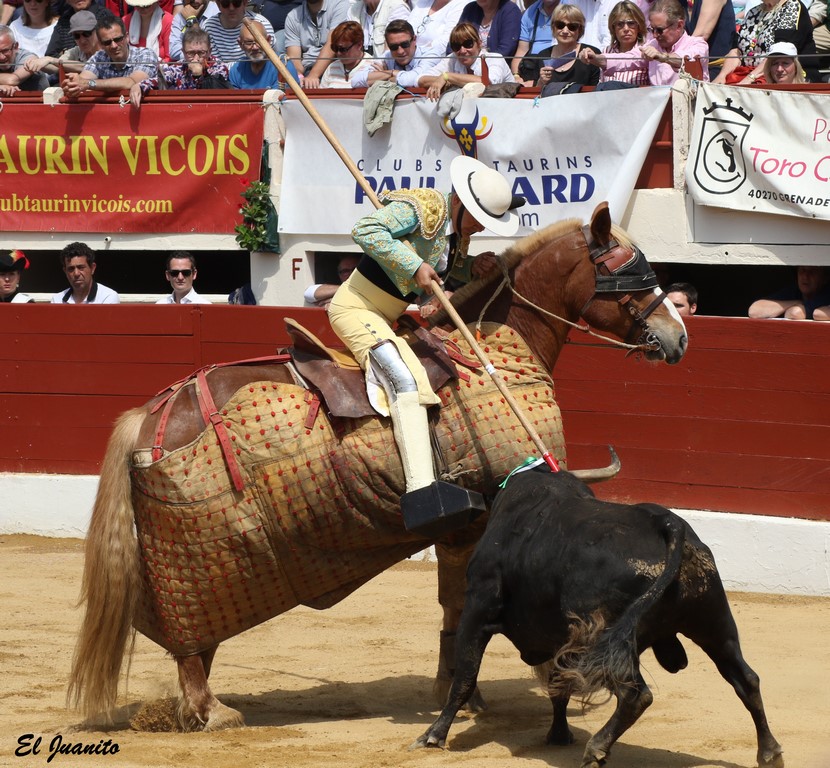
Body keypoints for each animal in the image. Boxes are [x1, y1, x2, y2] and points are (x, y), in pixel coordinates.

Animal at [416, 468, 788, 768]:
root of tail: (668, 525)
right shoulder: (559, 640)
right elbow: (559, 686)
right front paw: (559, 734)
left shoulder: (477, 611)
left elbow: (465, 677)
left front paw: (434, 735)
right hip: (713, 623)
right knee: (746, 679)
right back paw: (769, 753)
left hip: (603, 638)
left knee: (637, 695)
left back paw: (596, 749)